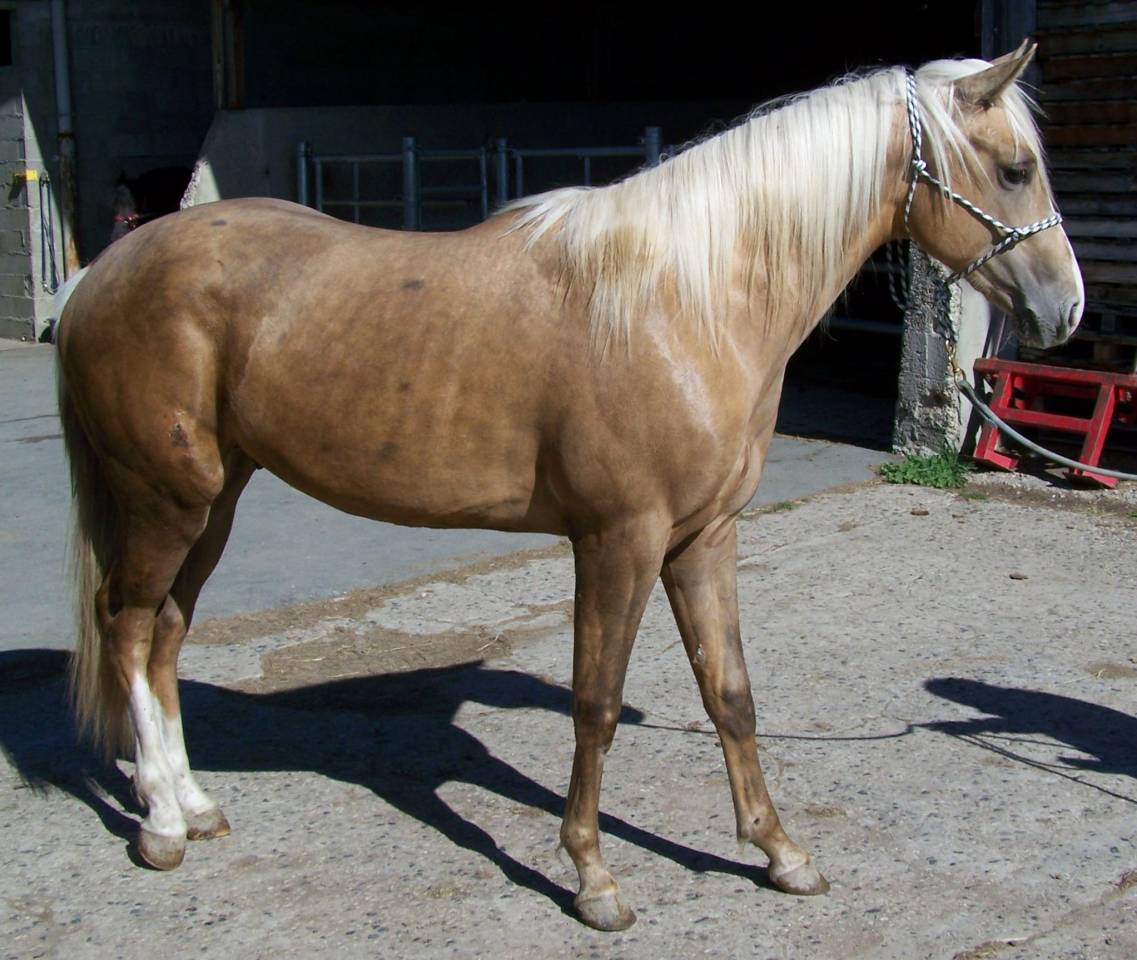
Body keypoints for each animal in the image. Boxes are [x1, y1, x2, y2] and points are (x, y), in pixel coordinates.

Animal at [56, 42, 1082, 931]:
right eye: (1013, 168)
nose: (1064, 310)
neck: (683, 301)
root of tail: (105, 271)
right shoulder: (618, 539)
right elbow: (595, 702)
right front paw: (593, 877)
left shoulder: (704, 536)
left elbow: (730, 692)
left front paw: (779, 853)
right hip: (166, 500)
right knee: (128, 625)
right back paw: (160, 825)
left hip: (214, 500)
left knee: (165, 631)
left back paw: (193, 803)